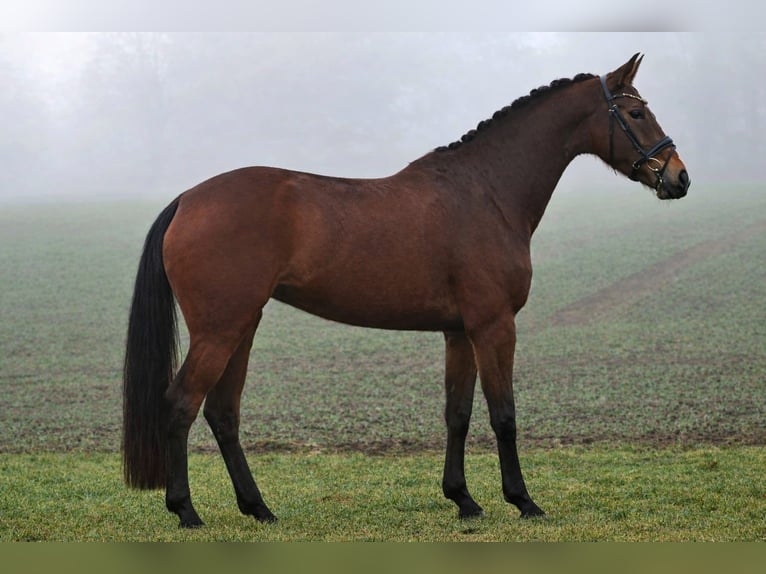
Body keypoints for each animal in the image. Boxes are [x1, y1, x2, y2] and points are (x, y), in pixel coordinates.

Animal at [123, 53, 690, 528]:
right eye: (636, 113)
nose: (679, 178)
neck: (486, 191)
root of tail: (188, 199)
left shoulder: (459, 332)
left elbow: (458, 414)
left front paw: (463, 499)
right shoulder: (494, 326)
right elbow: (503, 415)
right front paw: (523, 501)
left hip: (243, 325)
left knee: (223, 412)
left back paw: (258, 508)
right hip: (220, 330)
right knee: (181, 404)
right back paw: (187, 512)